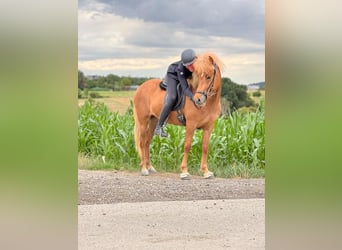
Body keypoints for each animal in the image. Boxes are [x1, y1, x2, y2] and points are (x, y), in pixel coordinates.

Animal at [132, 51, 224, 179]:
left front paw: (206, 171)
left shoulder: (208, 127)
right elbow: (187, 145)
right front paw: (184, 171)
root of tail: (140, 88)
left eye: (208, 77)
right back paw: (144, 169)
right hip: (143, 121)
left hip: (153, 120)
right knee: (141, 142)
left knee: (146, 143)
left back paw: (149, 167)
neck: (209, 104)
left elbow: (205, 147)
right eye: (199, 76)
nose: (198, 100)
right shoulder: (191, 125)